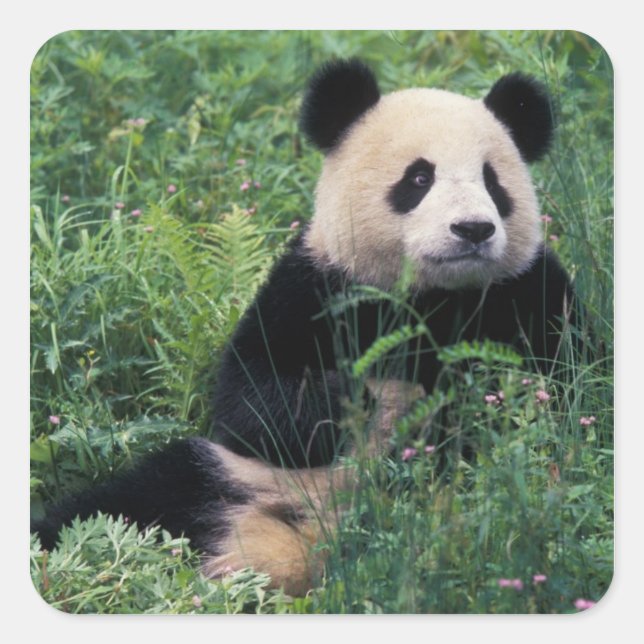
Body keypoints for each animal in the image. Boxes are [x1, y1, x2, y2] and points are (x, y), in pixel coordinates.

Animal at [32, 58, 579, 597]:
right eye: (419, 178)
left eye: (492, 182)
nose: (472, 229)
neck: (430, 296)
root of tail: (292, 546)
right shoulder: (312, 287)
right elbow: (250, 400)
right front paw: (347, 396)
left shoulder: (528, 292)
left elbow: (567, 391)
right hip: (227, 476)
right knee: (117, 507)